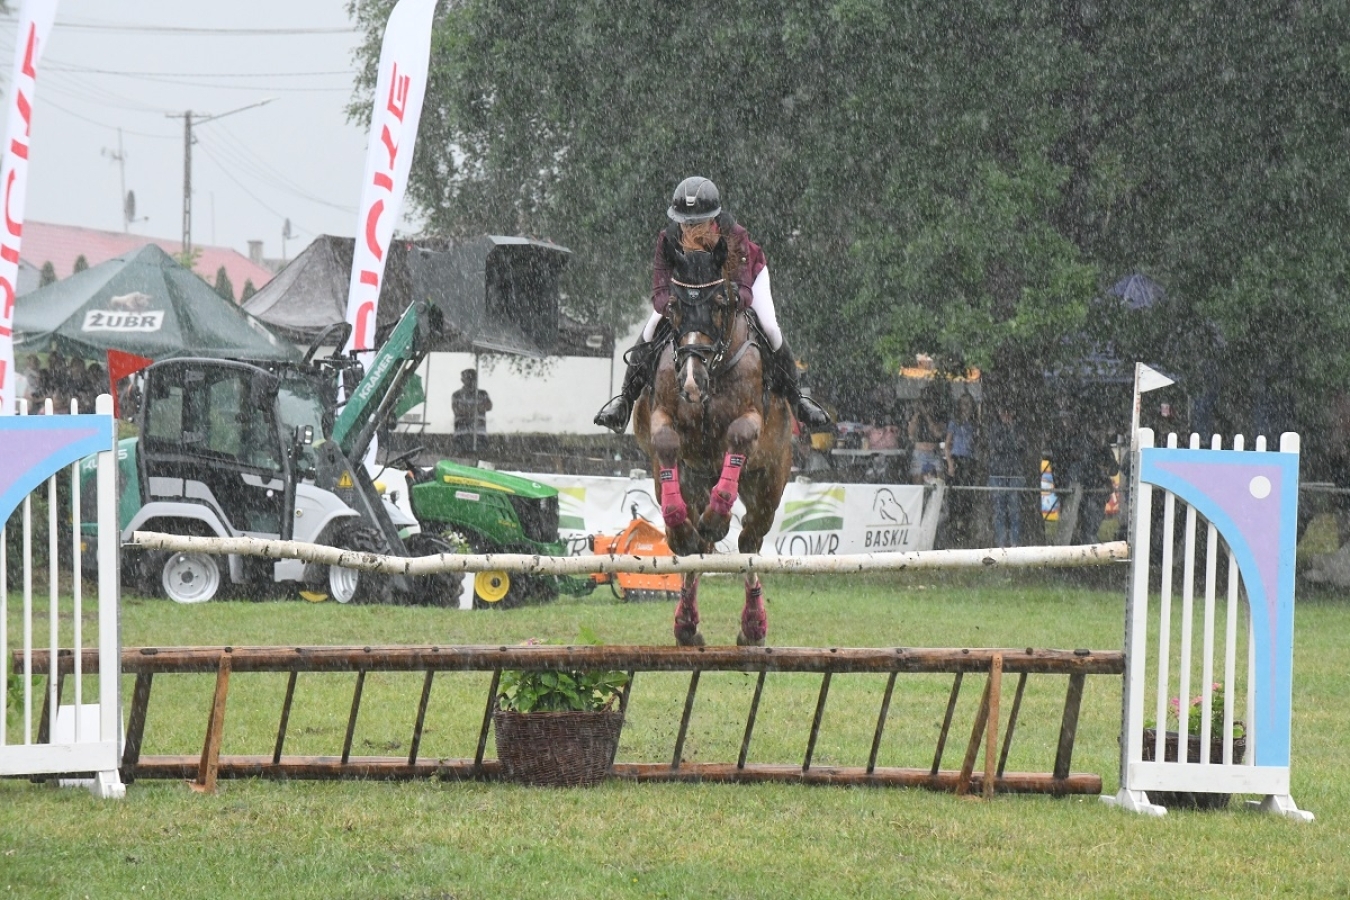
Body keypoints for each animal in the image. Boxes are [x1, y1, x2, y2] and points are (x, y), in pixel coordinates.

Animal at [633, 235, 794, 646]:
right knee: (697, 548)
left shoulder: (750, 419)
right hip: (692, 481)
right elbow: (666, 443)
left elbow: (737, 436)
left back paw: (753, 626)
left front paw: (719, 516)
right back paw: (686, 624)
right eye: (673, 305)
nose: (691, 381)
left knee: (749, 543)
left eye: (719, 305)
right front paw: (678, 526)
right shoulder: (663, 416)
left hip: (769, 484)